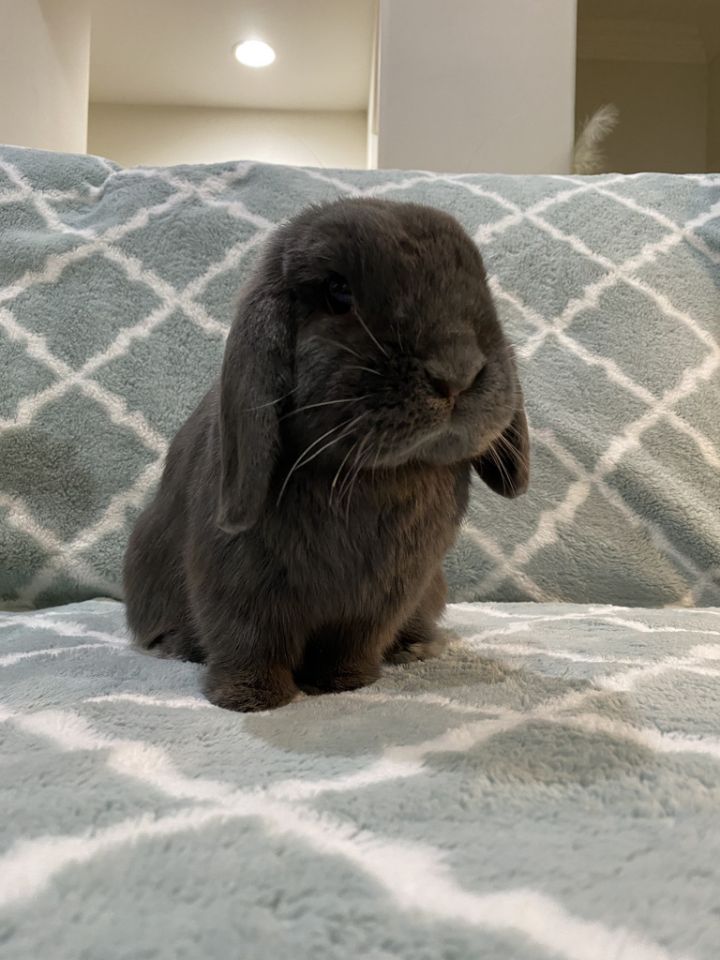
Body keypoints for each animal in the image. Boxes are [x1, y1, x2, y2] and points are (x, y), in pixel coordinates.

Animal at [124, 199, 528, 708]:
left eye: (480, 283)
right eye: (338, 293)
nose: (458, 370)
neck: (372, 475)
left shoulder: (384, 598)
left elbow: (351, 642)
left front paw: (344, 683)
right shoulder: (237, 584)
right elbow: (247, 641)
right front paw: (252, 699)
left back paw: (415, 648)